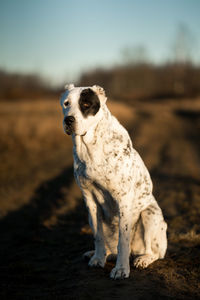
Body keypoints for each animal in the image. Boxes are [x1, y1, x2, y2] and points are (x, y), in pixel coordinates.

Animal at [59, 84, 167, 278]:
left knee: (153, 252)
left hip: (150, 215)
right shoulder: (90, 201)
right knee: (109, 245)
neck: (89, 147)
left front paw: (121, 269)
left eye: (86, 104)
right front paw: (97, 258)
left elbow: (123, 240)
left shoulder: (123, 200)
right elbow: (98, 236)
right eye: (66, 103)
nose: (68, 120)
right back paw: (98, 254)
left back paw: (143, 259)